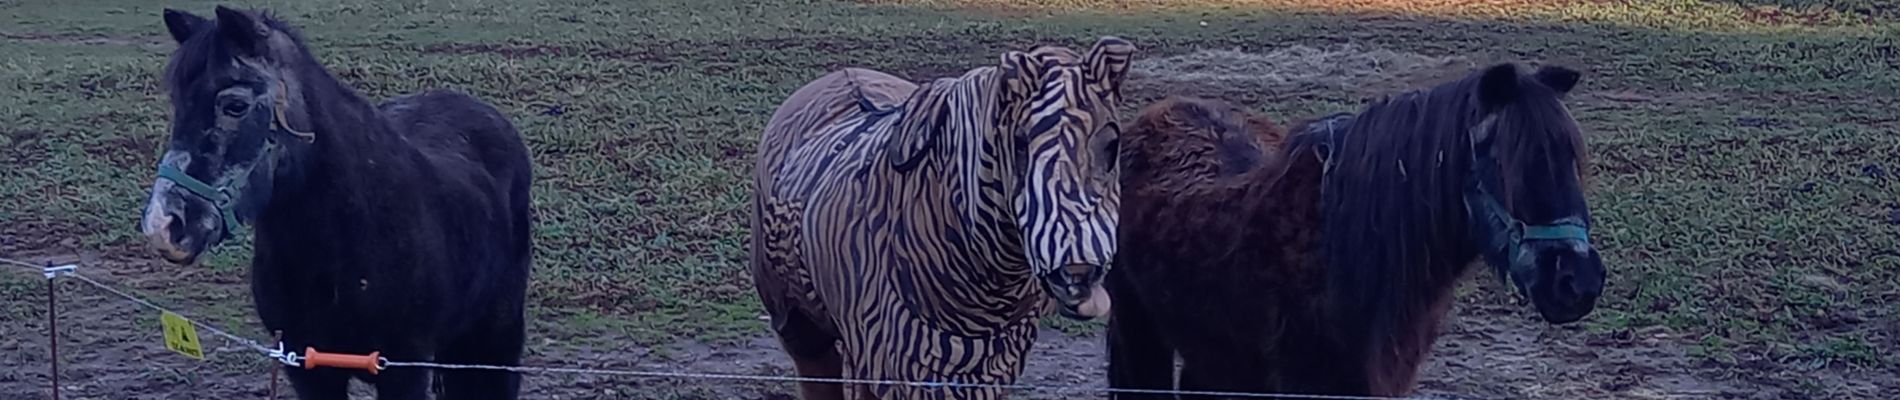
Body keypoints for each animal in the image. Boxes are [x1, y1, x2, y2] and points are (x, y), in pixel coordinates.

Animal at [138, 6, 535, 400]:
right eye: (177, 102)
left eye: (235, 106)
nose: (163, 225)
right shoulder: (307, 367)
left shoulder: (404, 369)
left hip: (494, 337)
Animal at [748, 37, 1132, 400]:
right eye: (1020, 143)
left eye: (1113, 145)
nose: (1078, 275)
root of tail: (842, 74)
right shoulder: (899, 362)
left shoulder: (988, 370)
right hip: (802, 328)